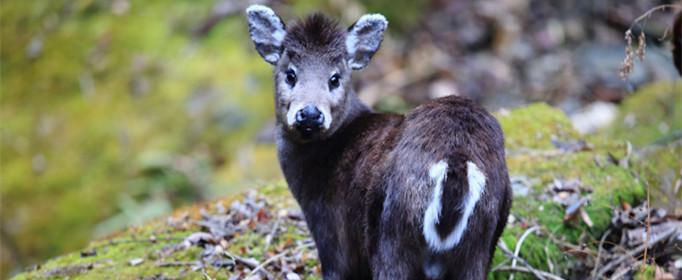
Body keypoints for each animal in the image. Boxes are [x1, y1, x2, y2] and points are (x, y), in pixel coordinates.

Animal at [244, 4, 510, 280]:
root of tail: (454, 159)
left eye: (335, 78)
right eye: (290, 74)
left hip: (391, 234)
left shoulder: (331, 232)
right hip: (482, 241)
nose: (309, 113)